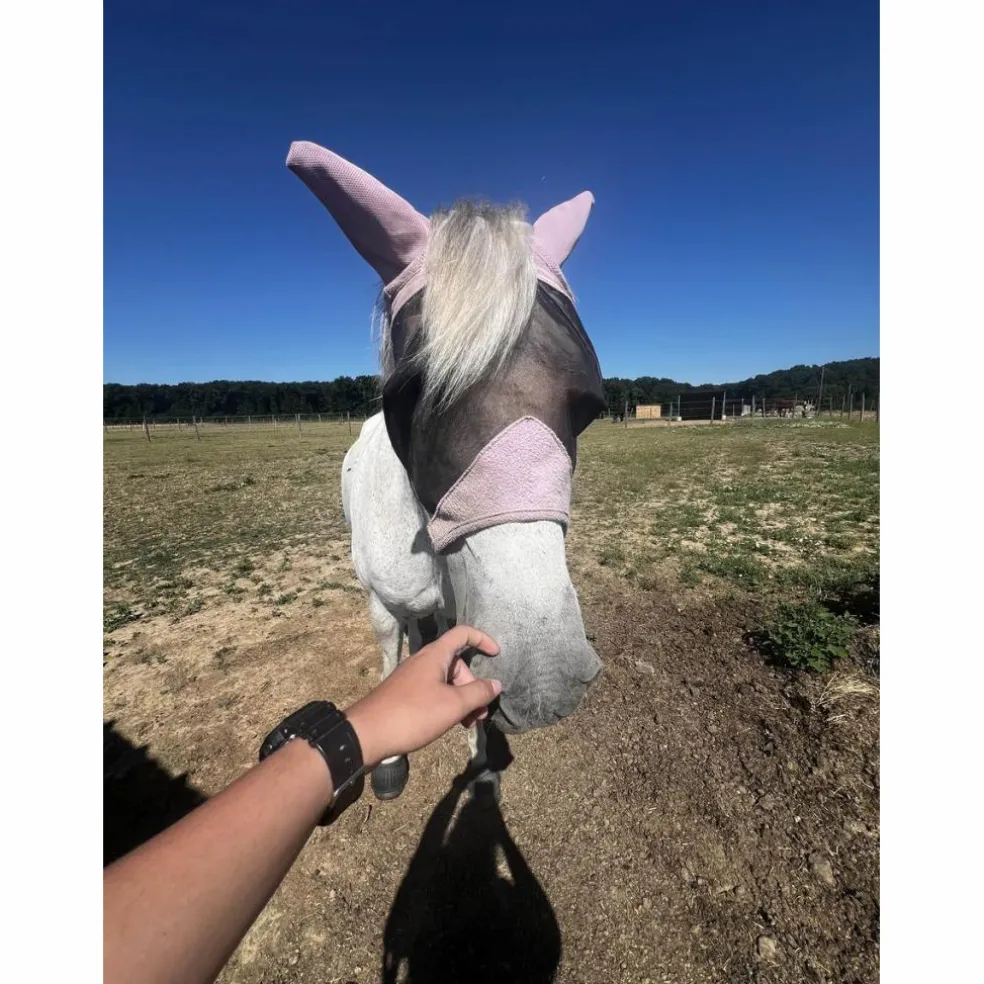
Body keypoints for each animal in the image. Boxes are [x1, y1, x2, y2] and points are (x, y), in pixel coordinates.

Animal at [287, 141, 606, 800]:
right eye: (409, 395)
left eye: (589, 406)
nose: (547, 681)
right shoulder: (381, 605)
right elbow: (391, 664)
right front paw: (389, 757)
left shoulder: (467, 623)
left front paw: (480, 764)